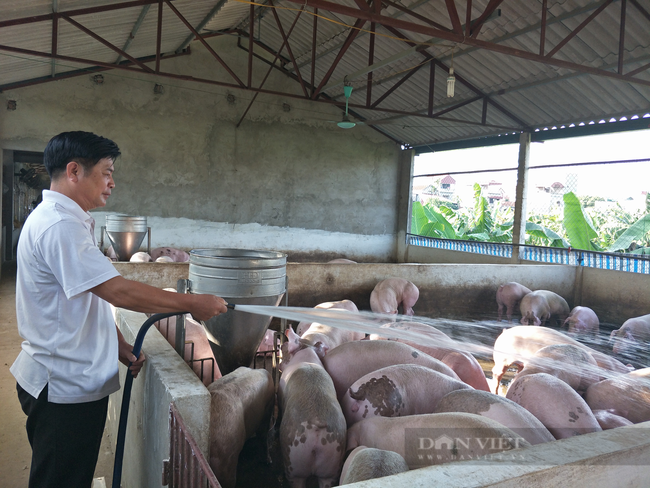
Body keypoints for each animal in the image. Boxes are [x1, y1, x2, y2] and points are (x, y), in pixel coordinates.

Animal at [278, 342, 350, 486]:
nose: (282, 344)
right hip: (333, 463)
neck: (308, 358)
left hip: (293, 461)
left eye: (286, 352)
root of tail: (317, 425)